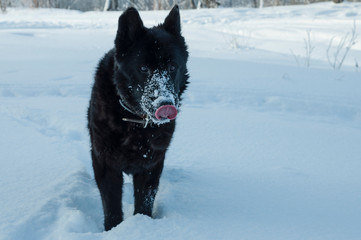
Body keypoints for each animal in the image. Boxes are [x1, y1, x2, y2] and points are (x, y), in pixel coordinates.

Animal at [87, 6, 188, 231]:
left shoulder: (151, 165)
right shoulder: (105, 164)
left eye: (172, 67)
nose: (165, 103)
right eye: (143, 68)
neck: (134, 121)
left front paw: (143, 225)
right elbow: (111, 205)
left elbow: (145, 201)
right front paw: (113, 230)